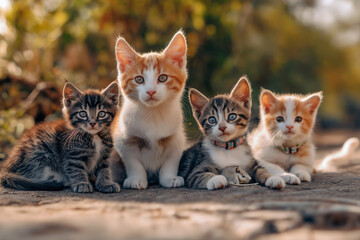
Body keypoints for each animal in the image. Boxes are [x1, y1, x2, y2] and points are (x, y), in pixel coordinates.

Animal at [111, 30, 187, 189]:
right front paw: (136, 178)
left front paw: (169, 178)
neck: (153, 114)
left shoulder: (177, 138)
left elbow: (171, 160)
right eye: (139, 79)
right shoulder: (123, 139)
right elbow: (133, 162)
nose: (151, 91)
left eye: (163, 78)